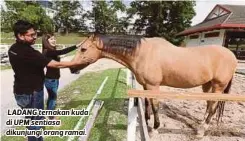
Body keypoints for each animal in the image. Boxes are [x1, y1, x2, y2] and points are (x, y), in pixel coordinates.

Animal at [70, 33, 237, 137]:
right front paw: (146, 120)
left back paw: (202, 131)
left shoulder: (153, 86)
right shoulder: (146, 86)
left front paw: (155, 128)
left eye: (83, 49)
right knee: (209, 104)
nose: (72, 68)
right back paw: (200, 125)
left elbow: (155, 105)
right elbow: (147, 103)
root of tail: (232, 55)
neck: (142, 53)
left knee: (213, 107)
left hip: (218, 86)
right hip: (207, 85)